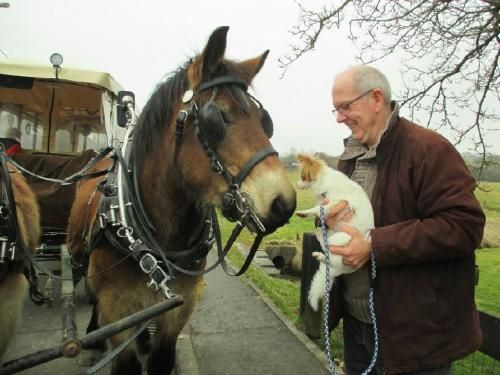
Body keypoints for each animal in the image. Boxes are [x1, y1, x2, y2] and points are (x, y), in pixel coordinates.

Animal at [65, 25, 292, 374]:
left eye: (264, 120)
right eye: (216, 118)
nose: (284, 202)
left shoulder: (177, 311)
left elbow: (161, 358)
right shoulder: (118, 309)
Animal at [294, 153, 374, 312]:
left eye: (303, 176)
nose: (297, 183)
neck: (327, 181)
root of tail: (343, 269)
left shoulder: (334, 203)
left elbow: (316, 209)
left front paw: (303, 212)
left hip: (340, 238)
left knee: (330, 253)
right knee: (327, 254)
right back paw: (319, 251)